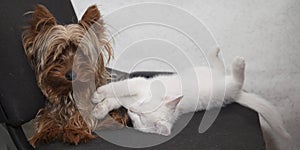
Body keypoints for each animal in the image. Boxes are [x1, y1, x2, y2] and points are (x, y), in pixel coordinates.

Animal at [21, 4, 129, 145]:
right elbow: (47, 117)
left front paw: (74, 131)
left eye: (81, 53)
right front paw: (43, 133)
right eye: (56, 54)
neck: (70, 93)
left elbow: (82, 116)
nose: (70, 74)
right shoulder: (51, 109)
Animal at [92, 48, 290, 139]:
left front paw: (97, 97)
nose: (132, 110)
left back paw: (238, 63)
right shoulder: (136, 89)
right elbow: (115, 95)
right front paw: (99, 106)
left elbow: (117, 90)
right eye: (140, 109)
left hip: (226, 88)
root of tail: (236, 95)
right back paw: (215, 52)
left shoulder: (136, 86)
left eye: (140, 117)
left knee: (237, 80)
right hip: (211, 73)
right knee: (219, 68)